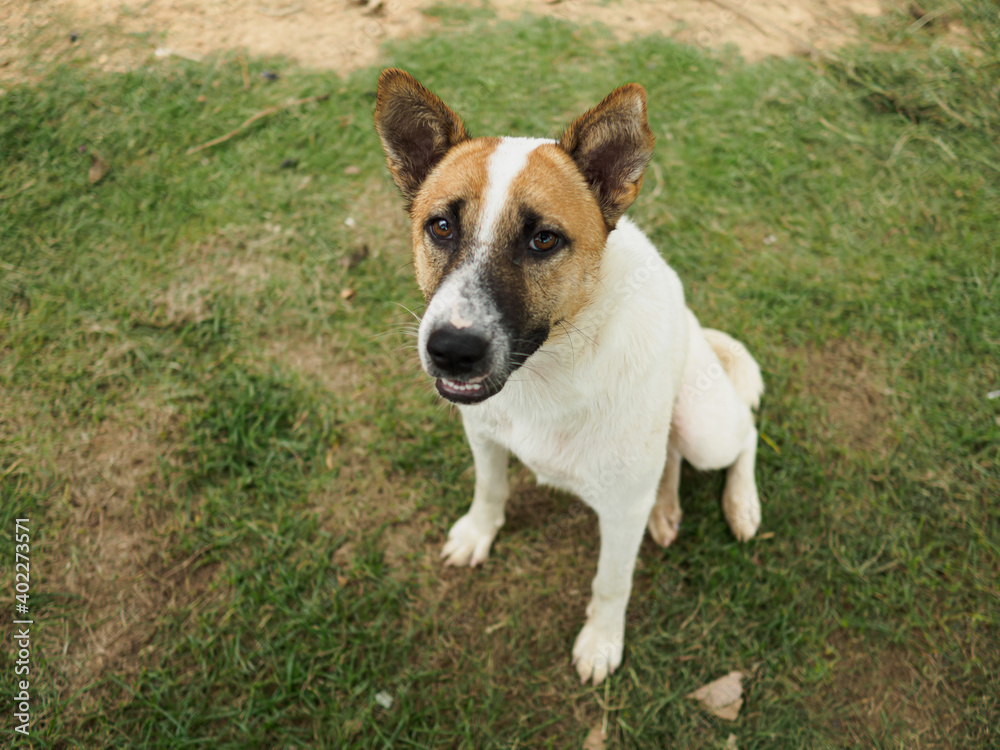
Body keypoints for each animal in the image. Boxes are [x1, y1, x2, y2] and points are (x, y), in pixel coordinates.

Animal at [376, 70, 764, 688]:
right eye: (440, 226)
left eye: (543, 240)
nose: (452, 351)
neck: (547, 374)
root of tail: (693, 325)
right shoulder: (483, 436)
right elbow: (490, 488)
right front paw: (478, 533)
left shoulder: (621, 513)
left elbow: (611, 583)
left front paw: (601, 642)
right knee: (669, 459)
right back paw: (667, 507)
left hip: (706, 427)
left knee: (744, 433)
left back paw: (741, 504)